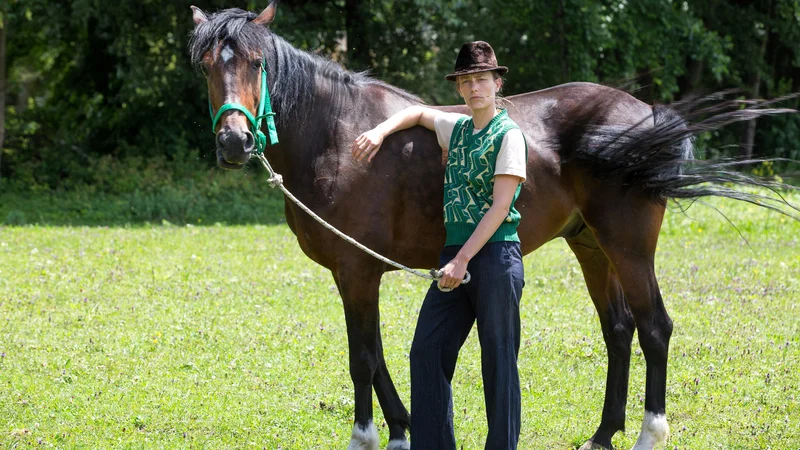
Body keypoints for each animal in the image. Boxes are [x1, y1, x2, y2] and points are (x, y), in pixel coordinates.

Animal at [188, 3, 792, 450]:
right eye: (207, 66)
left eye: (258, 61)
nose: (234, 142)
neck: (338, 135)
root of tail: (647, 116)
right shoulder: (354, 272)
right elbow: (377, 355)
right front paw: (403, 430)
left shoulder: (357, 271)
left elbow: (362, 357)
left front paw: (367, 436)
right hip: (591, 246)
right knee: (618, 330)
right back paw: (602, 435)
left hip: (629, 249)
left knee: (654, 328)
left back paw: (648, 434)